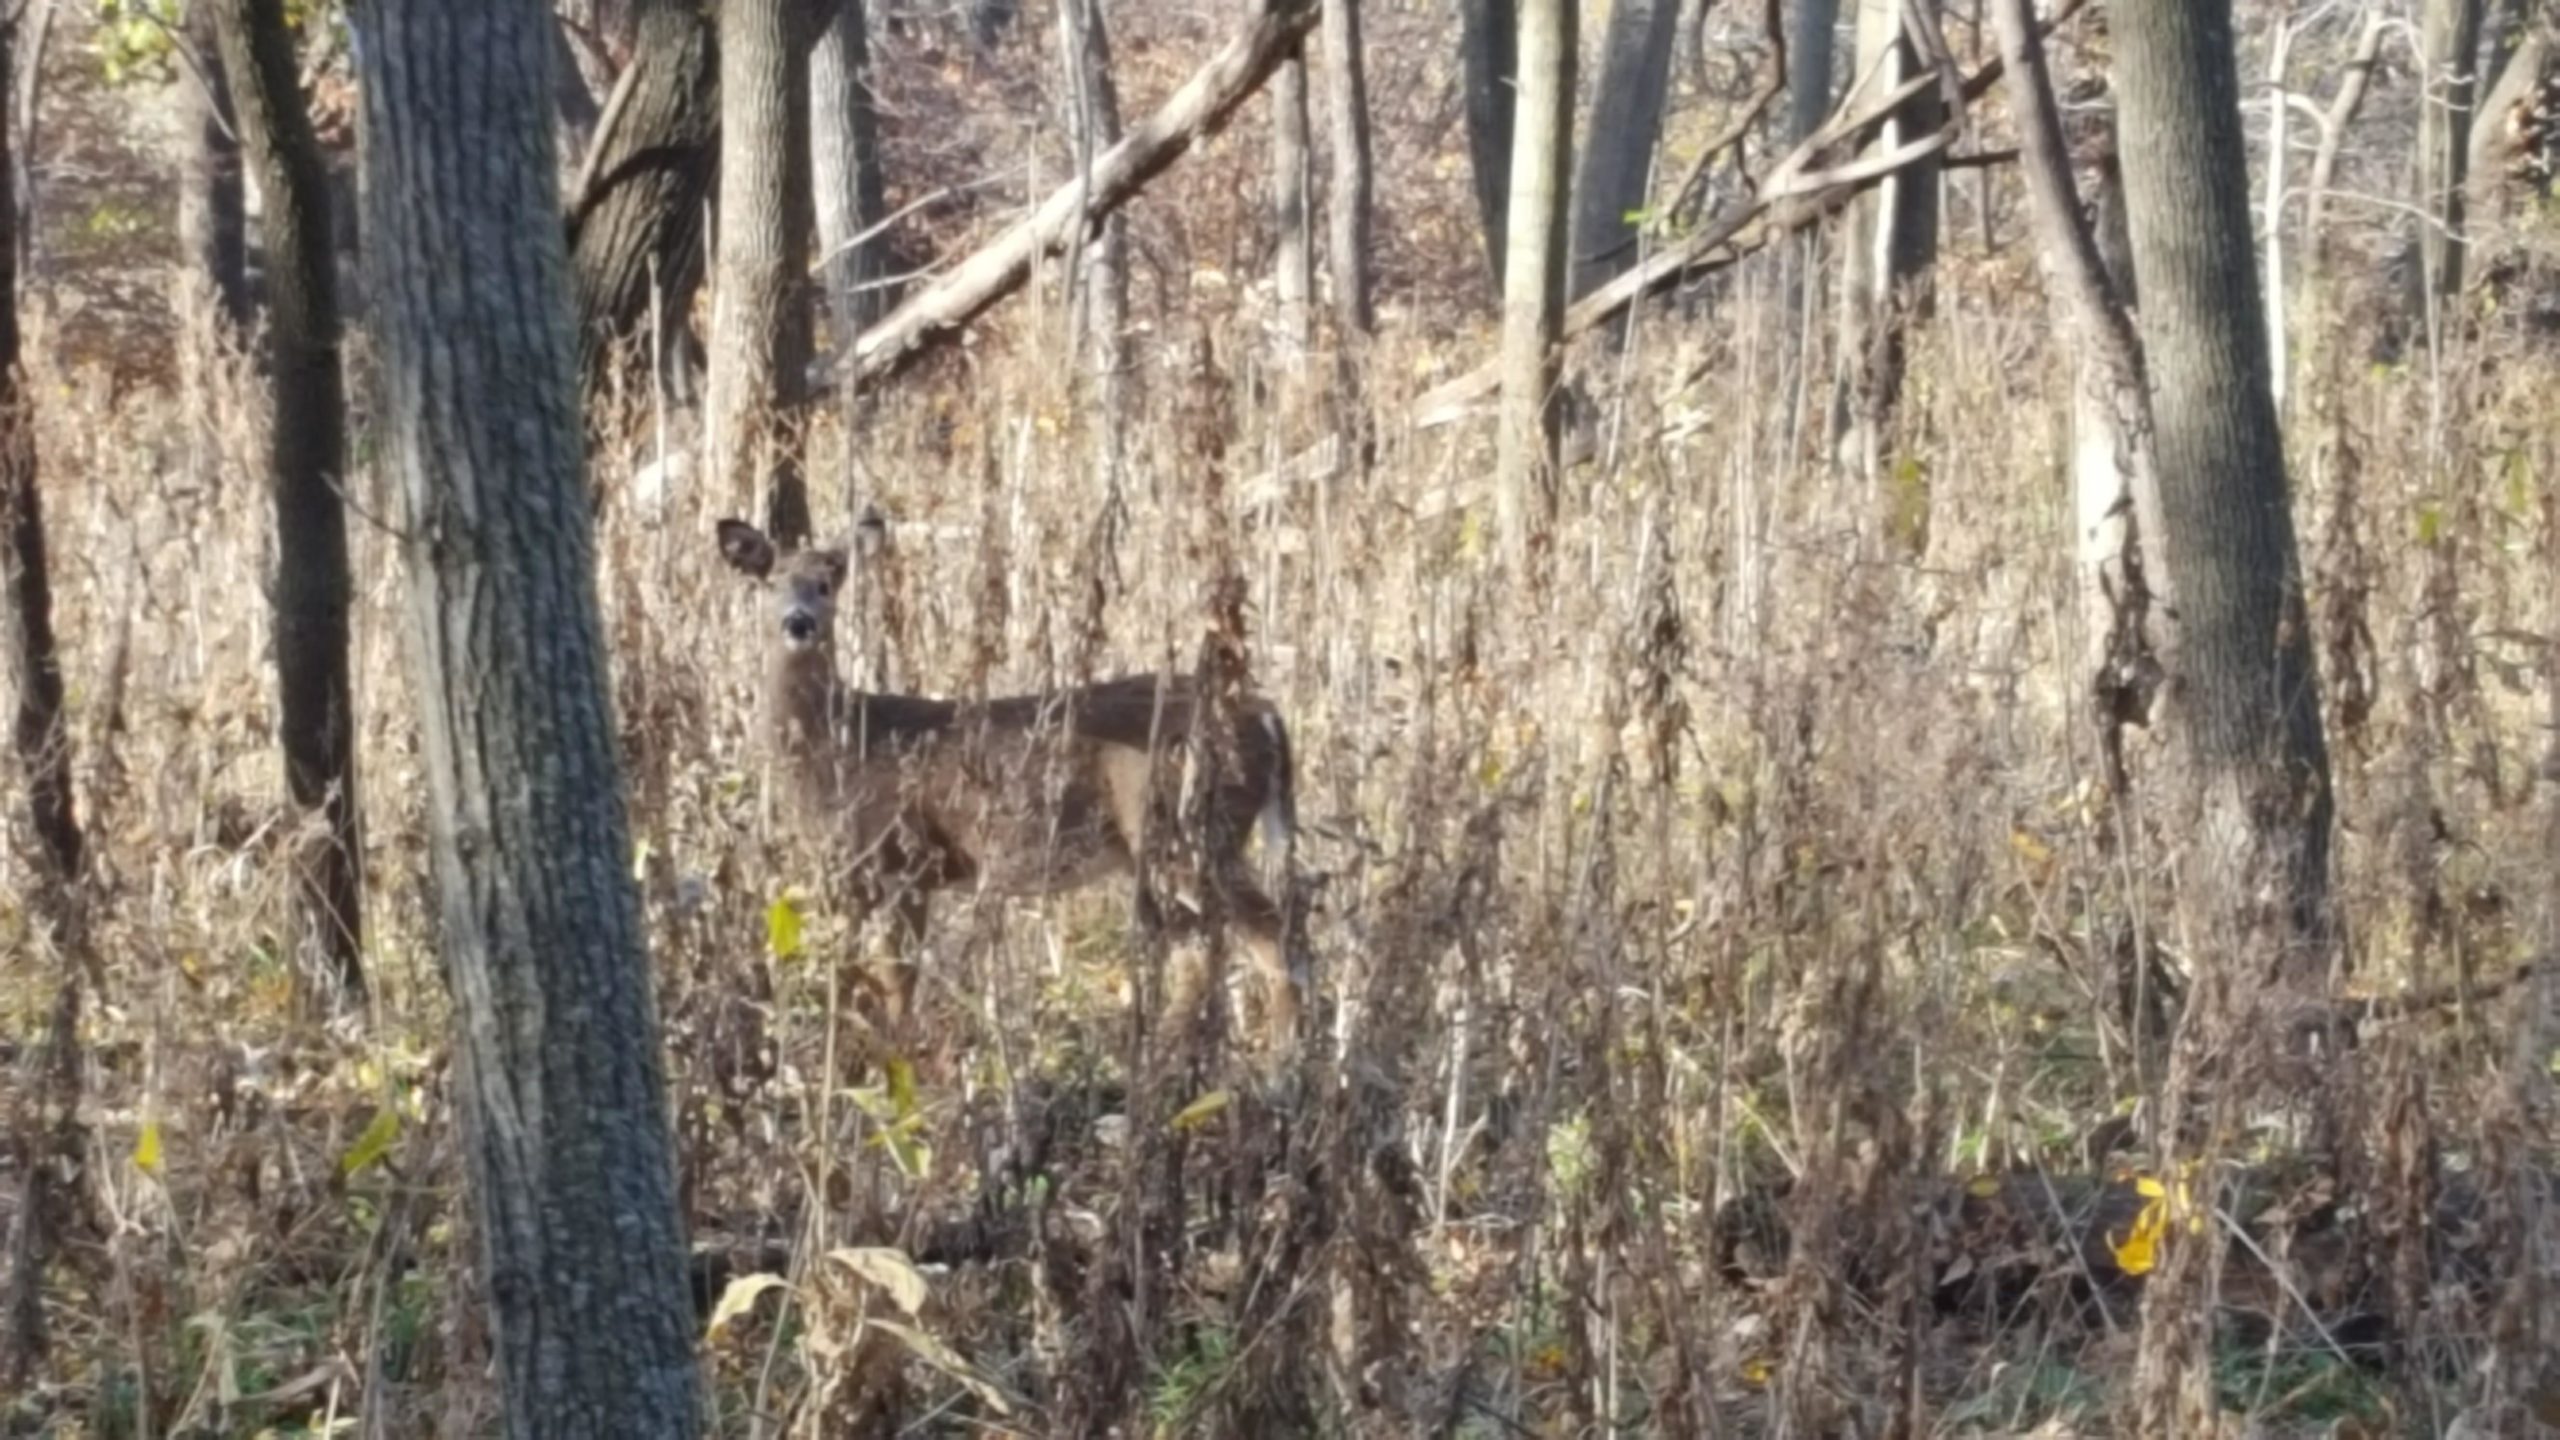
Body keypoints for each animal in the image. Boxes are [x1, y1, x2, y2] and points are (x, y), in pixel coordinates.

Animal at [714, 515, 1304, 1054]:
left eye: (827, 583)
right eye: (771, 581)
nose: (798, 623)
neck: (841, 746)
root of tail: (1266, 713)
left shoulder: (908, 860)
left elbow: (897, 983)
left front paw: (898, 1068)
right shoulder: (859, 879)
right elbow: (863, 980)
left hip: (1191, 830)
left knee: (1262, 933)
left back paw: (1277, 1066)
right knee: (1207, 946)